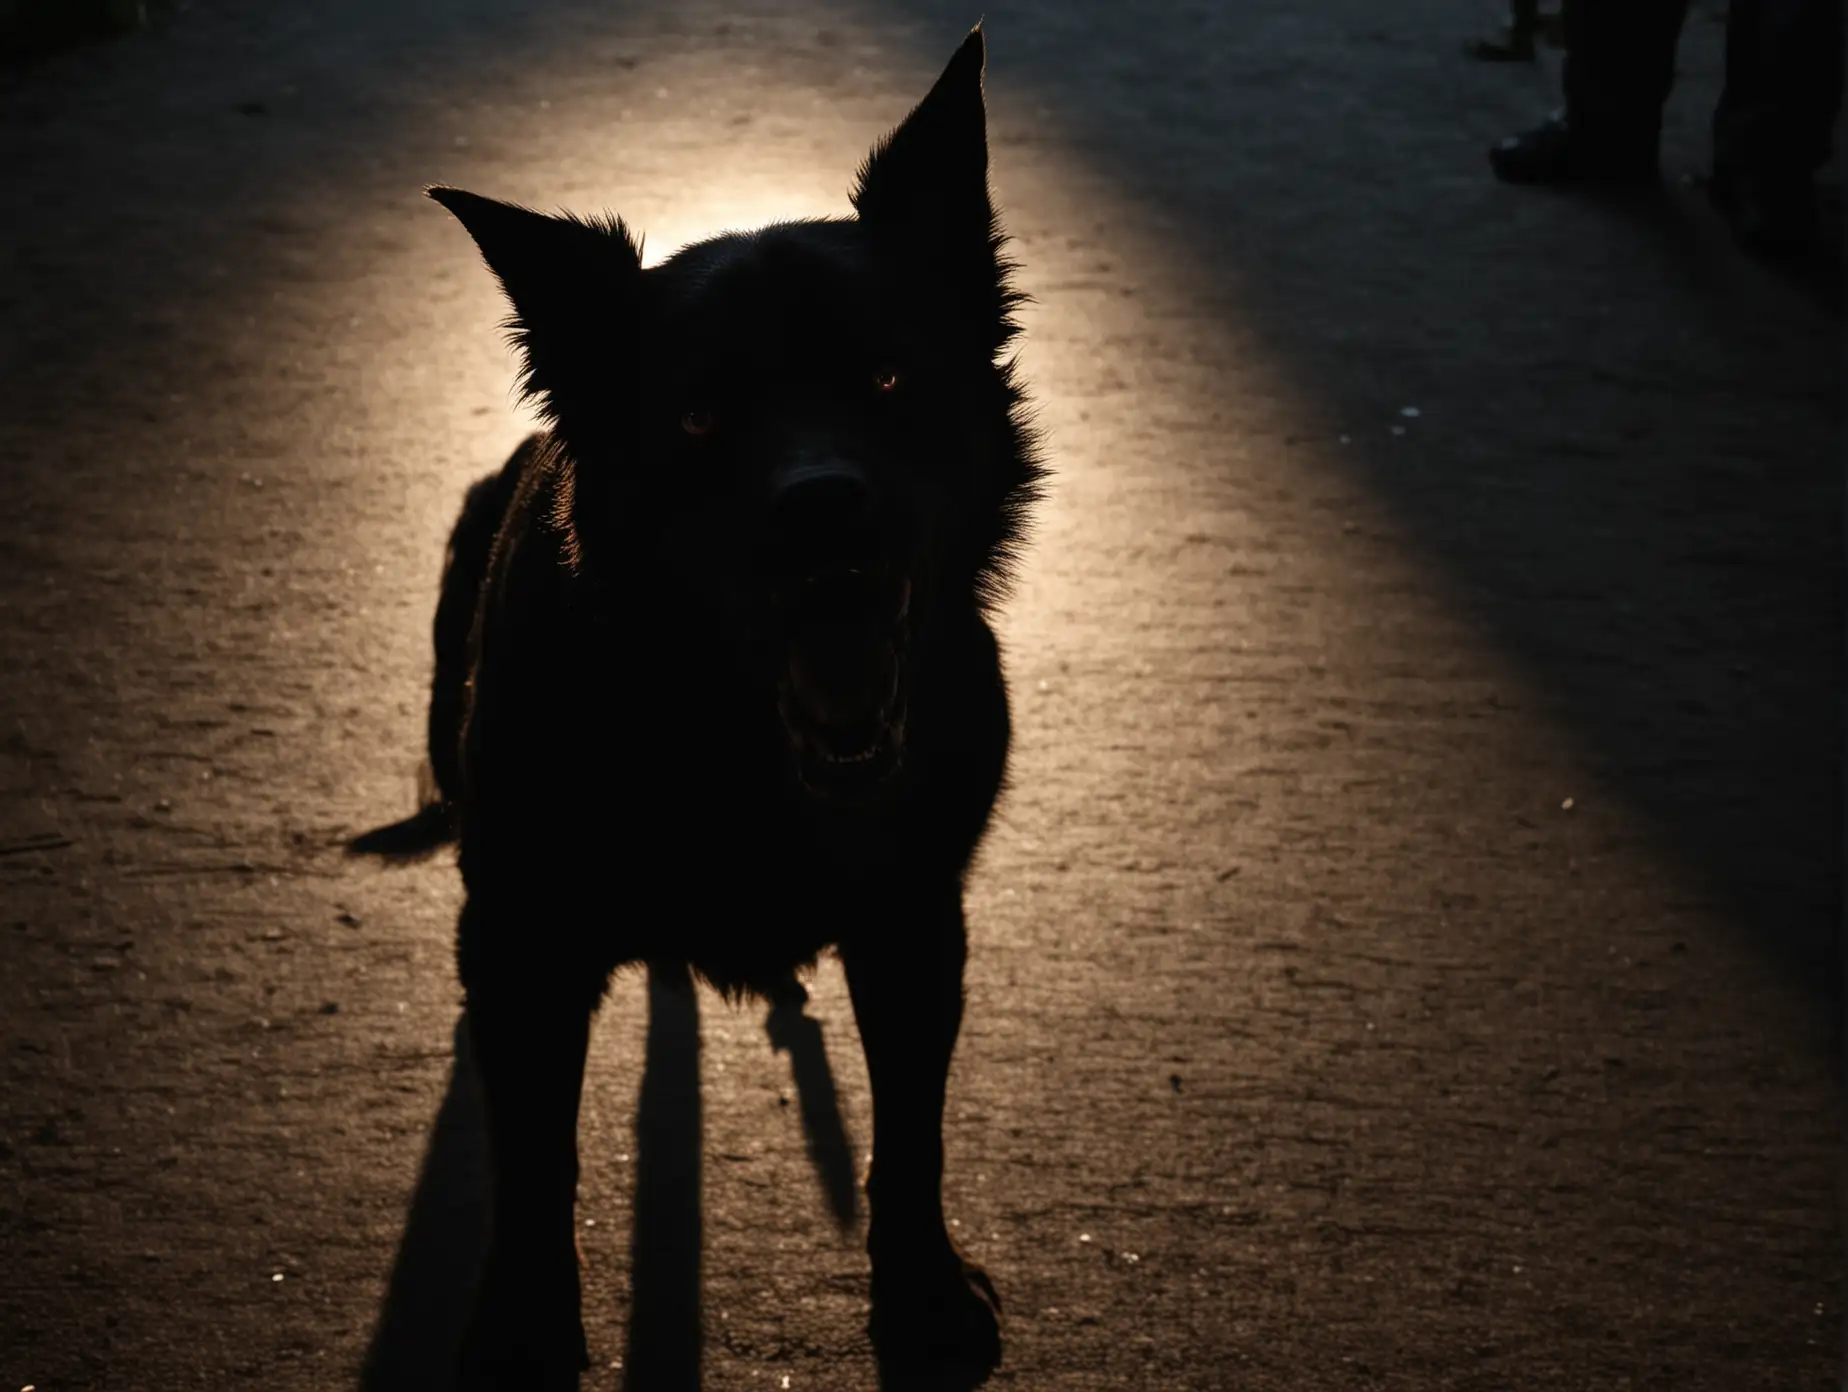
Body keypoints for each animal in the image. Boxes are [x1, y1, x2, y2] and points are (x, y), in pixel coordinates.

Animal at [406, 27, 1042, 1382]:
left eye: (889, 377)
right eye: (698, 416)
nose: (825, 513)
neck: (731, 747)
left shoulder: (915, 919)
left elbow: (912, 1133)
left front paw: (921, 1294)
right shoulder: (525, 935)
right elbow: (535, 1157)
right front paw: (527, 1324)